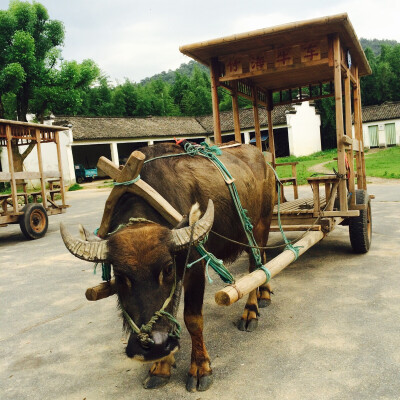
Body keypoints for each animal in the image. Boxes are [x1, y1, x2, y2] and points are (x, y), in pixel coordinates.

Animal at [61, 142, 276, 392]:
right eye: (121, 275)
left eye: (168, 270)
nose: (153, 344)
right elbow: (168, 312)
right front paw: (161, 366)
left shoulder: (194, 267)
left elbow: (192, 319)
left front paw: (200, 368)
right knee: (261, 261)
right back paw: (264, 294)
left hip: (261, 225)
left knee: (255, 266)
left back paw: (250, 312)